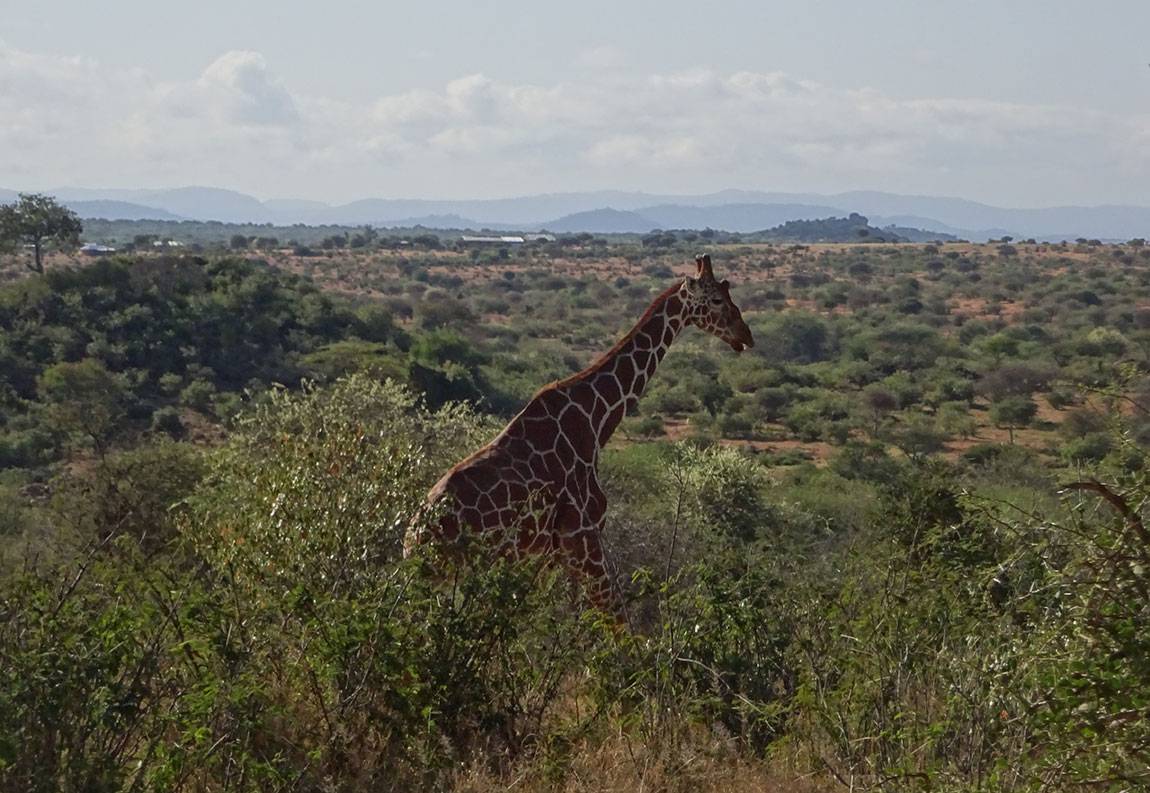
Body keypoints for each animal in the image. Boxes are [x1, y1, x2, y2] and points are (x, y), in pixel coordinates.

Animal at [404, 254, 754, 609]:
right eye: (716, 299)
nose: (746, 336)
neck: (595, 420)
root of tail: (413, 540)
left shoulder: (545, 554)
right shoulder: (582, 536)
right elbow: (612, 614)